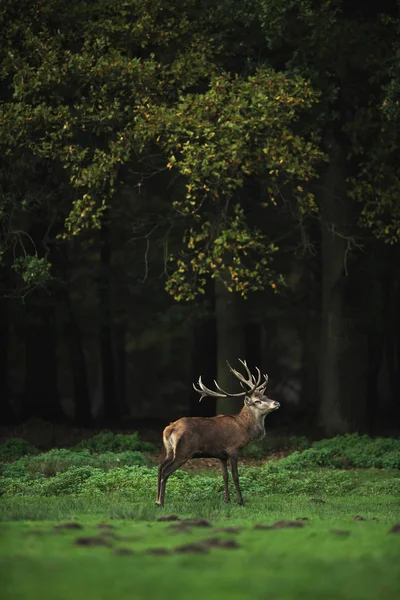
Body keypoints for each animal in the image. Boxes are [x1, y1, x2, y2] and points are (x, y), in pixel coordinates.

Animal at [155, 358, 280, 508]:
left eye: (265, 395)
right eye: (257, 401)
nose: (276, 403)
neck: (244, 429)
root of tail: (170, 428)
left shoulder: (221, 455)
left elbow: (224, 475)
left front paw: (227, 500)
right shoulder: (233, 449)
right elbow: (235, 476)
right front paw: (240, 501)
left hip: (169, 450)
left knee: (160, 468)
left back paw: (156, 500)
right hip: (182, 451)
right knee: (165, 471)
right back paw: (161, 502)